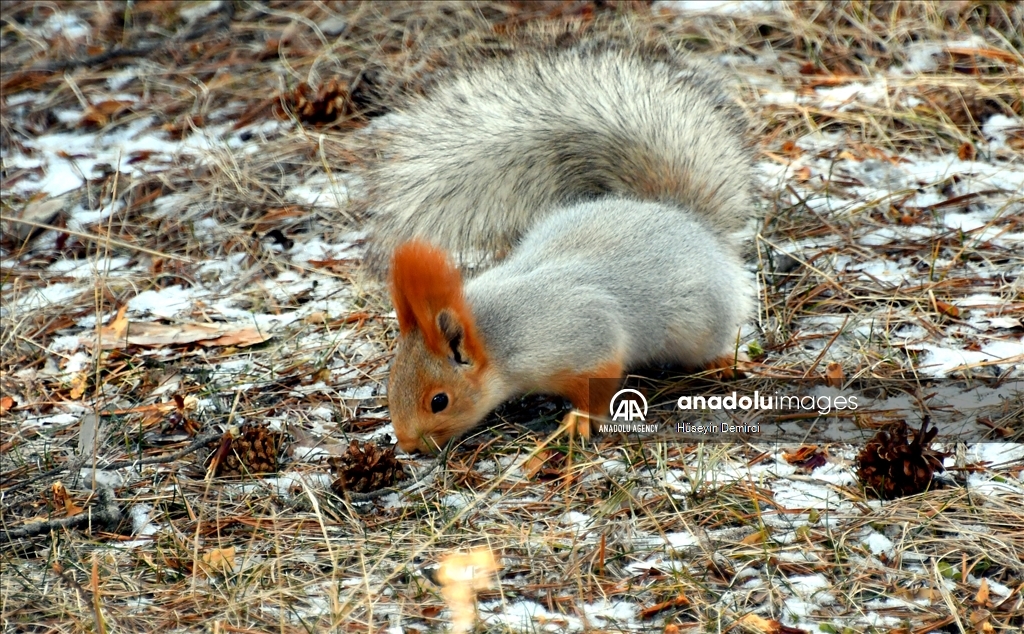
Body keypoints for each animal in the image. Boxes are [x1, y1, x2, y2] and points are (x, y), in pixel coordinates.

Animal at [364, 38, 757, 450]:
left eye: (439, 401)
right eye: (390, 384)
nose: (408, 445)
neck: (499, 339)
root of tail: (681, 216)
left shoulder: (586, 339)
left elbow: (596, 386)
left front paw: (579, 421)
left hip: (703, 324)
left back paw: (721, 361)